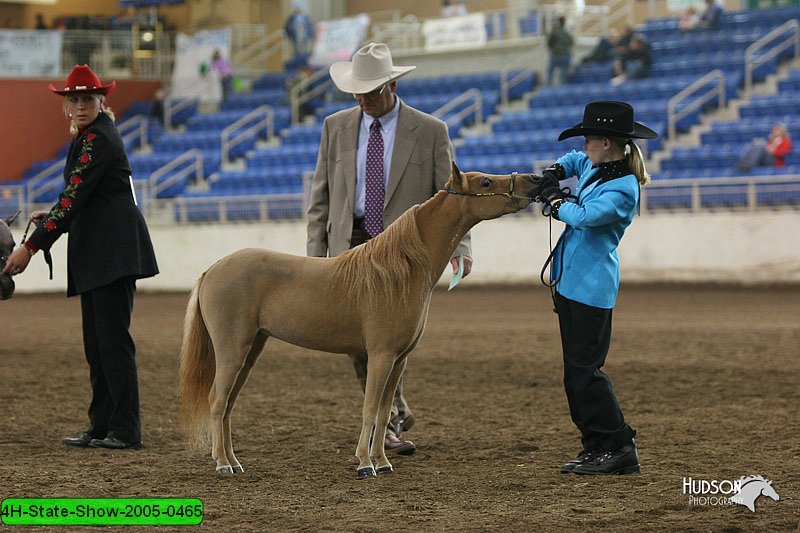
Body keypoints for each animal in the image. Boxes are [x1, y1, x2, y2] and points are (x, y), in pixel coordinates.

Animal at [180, 163, 540, 478]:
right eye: (485, 183)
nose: (533, 180)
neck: (399, 272)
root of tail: (212, 270)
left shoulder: (399, 360)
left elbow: (383, 412)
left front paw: (383, 462)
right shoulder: (380, 355)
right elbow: (369, 409)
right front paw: (365, 464)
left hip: (251, 350)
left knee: (228, 404)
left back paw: (234, 462)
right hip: (232, 350)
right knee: (216, 402)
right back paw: (222, 464)